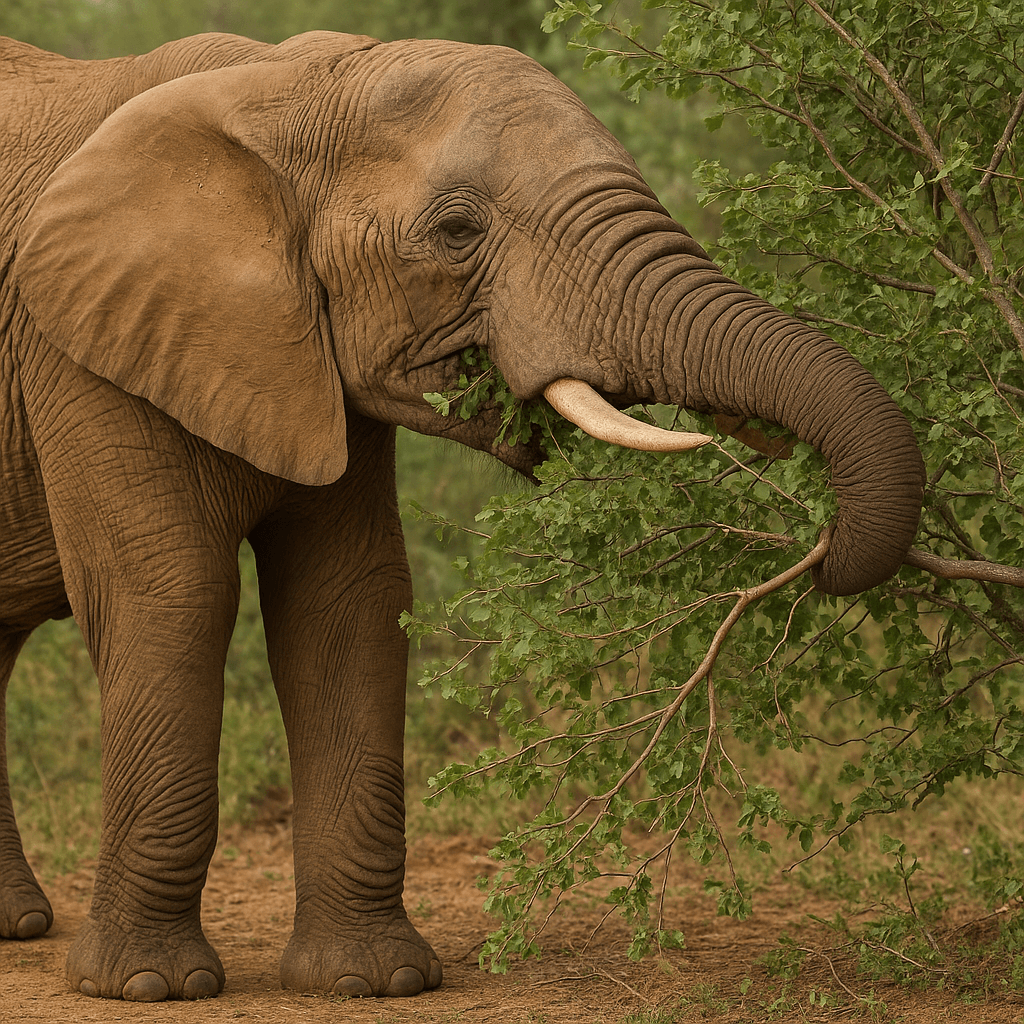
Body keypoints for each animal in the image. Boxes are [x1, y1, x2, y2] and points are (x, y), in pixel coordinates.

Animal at [0, 29, 924, 1002]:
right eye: (455, 232)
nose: (824, 548)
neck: (284, 85)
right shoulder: (76, 346)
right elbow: (174, 598)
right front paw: (149, 987)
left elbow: (348, 605)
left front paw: (372, 982)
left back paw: (17, 925)